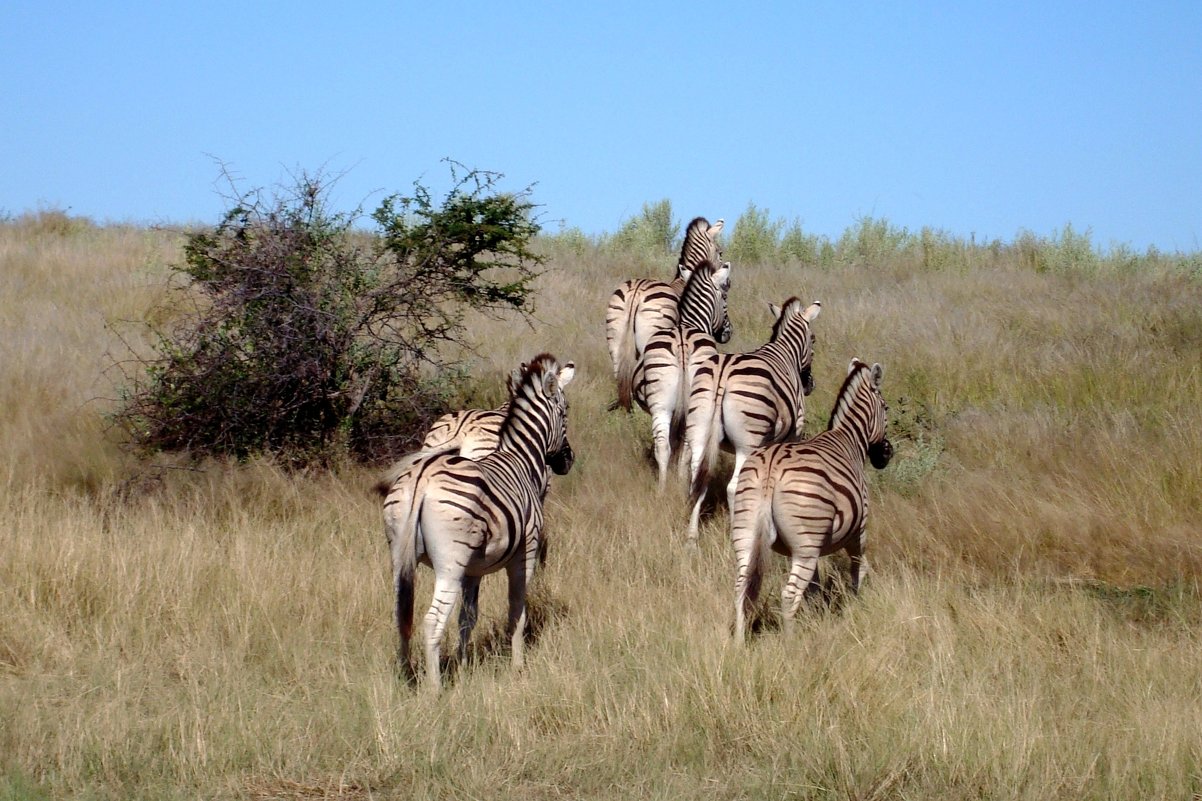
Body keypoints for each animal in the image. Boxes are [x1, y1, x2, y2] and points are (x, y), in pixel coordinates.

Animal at [379, 353, 576, 687]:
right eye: (565, 412)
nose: (568, 460)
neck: (521, 459)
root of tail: (422, 477)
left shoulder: (473, 569)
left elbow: (466, 618)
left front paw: (463, 666)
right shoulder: (526, 550)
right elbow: (517, 608)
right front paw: (518, 665)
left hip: (400, 554)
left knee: (401, 615)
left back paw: (408, 678)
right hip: (449, 563)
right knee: (432, 621)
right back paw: (434, 689)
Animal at [629, 260, 730, 485]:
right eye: (725, 298)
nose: (728, 333)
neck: (689, 323)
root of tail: (683, 343)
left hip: (662, 405)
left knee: (666, 447)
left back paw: (664, 487)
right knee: (683, 448)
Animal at [682, 298, 822, 543]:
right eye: (813, 339)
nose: (810, 385)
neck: (787, 352)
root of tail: (723, 373)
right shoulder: (792, 434)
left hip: (698, 428)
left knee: (698, 478)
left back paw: (692, 537)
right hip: (747, 442)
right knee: (733, 486)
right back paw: (736, 533)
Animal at [721, 358, 894, 639]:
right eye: (886, 408)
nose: (886, 455)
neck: (850, 440)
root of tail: (771, 469)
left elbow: (814, 587)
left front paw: (816, 616)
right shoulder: (858, 530)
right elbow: (859, 569)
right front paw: (857, 605)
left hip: (747, 532)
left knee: (741, 589)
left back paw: (738, 641)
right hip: (806, 544)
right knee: (789, 595)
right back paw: (790, 642)